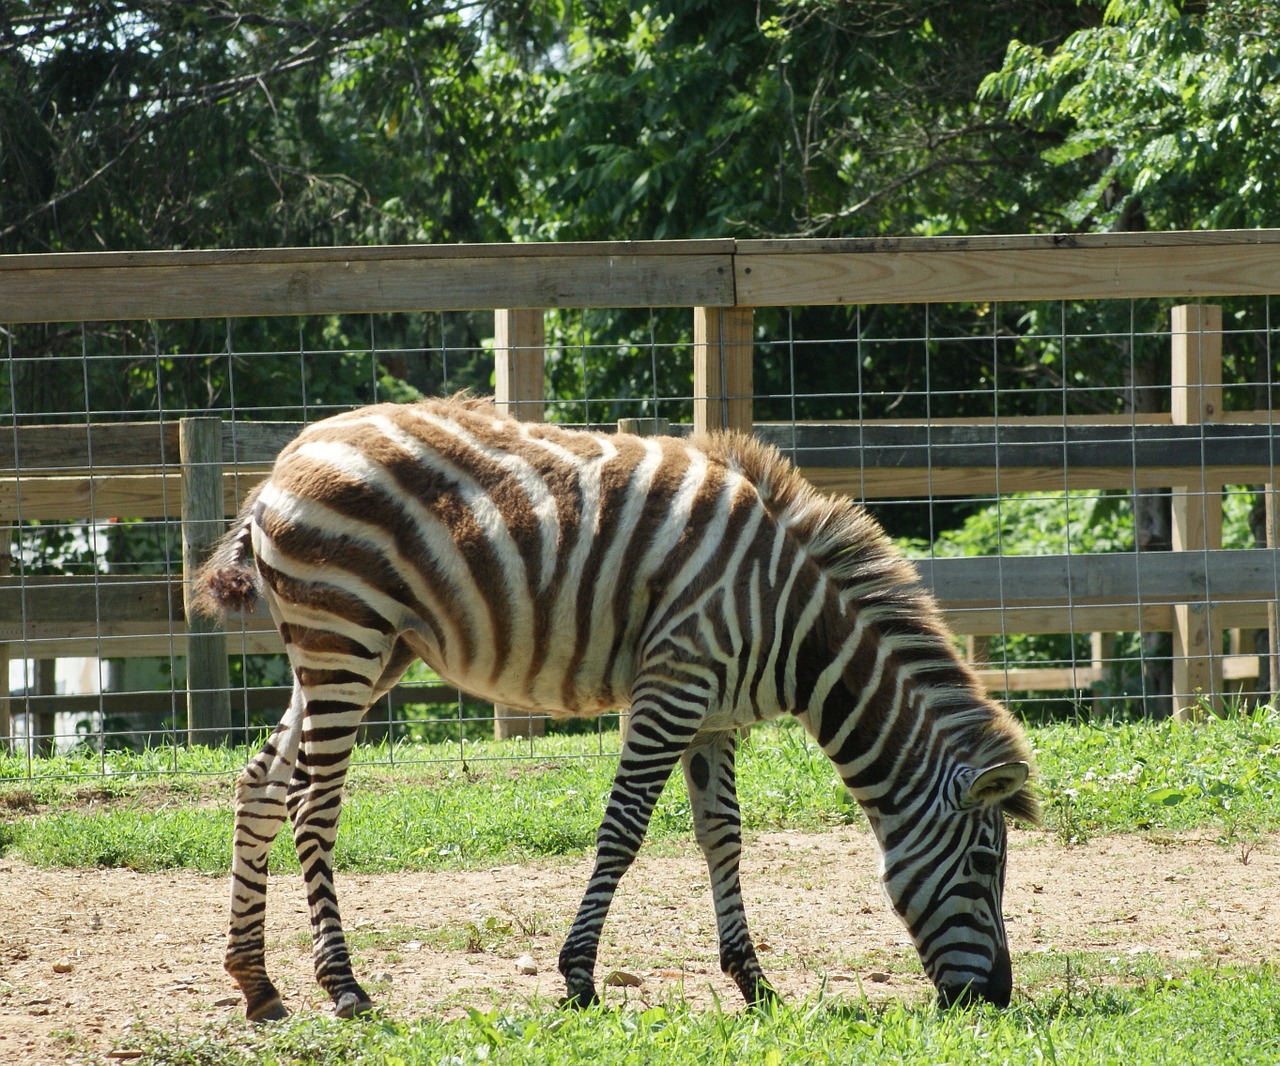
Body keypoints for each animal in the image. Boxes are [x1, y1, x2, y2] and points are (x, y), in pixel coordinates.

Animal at [197, 394, 1039, 1023]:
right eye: (985, 862)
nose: (995, 999)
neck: (792, 622)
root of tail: (287, 459)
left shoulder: (713, 715)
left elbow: (723, 836)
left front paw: (753, 981)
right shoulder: (674, 685)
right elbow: (624, 830)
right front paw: (578, 978)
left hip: (355, 651)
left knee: (259, 784)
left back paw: (257, 984)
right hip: (345, 636)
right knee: (312, 804)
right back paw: (343, 986)